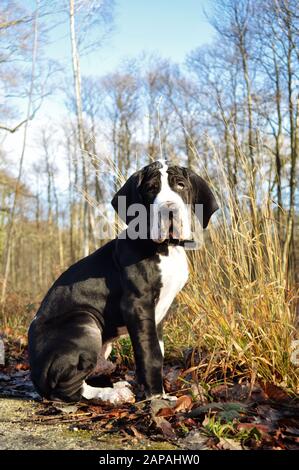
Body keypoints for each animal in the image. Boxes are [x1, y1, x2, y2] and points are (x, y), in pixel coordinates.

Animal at [28, 160, 218, 402]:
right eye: (151, 189)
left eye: (181, 185)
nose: (169, 209)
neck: (166, 248)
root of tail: (35, 374)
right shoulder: (137, 305)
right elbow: (151, 353)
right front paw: (157, 397)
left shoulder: (158, 314)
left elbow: (157, 349)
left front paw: (156, 392)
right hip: (85, 322)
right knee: (68, 389)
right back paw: (111, 395)